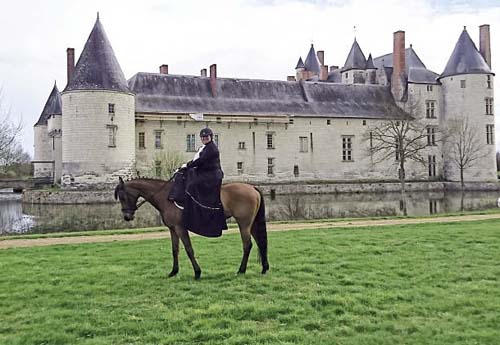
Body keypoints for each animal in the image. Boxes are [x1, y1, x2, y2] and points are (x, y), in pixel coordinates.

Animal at [114, 176, 270, 278]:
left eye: (122, 196)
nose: (127, 217)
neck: (167, 197)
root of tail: (252, 187)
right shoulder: (172, 229)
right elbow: (175, 250)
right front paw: (174, 272)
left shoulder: (180, 228)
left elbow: (189, 250)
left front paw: (197, 272)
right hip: (251, 224)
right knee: (260, 242)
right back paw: (264, 268)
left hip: (244, 224)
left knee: (247, 245)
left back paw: (241, 270)